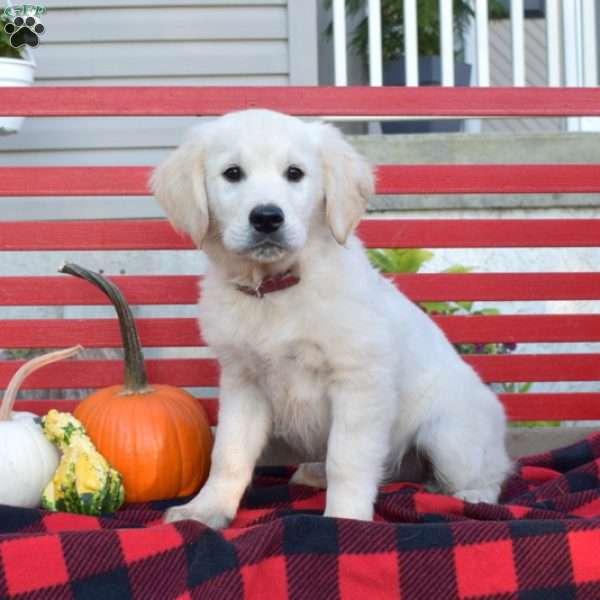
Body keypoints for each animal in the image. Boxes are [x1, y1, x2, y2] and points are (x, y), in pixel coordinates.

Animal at [151, 110, 510, 528]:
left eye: (295, 173)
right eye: (232, 173)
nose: (267, 217)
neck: (277, 288)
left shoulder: (359, 381)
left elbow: (347, 459)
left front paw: (345, 519)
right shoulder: (243, 381)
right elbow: (229, 453)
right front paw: (206, 509)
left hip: (450, 436)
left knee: (492, 472)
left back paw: (472, 497)